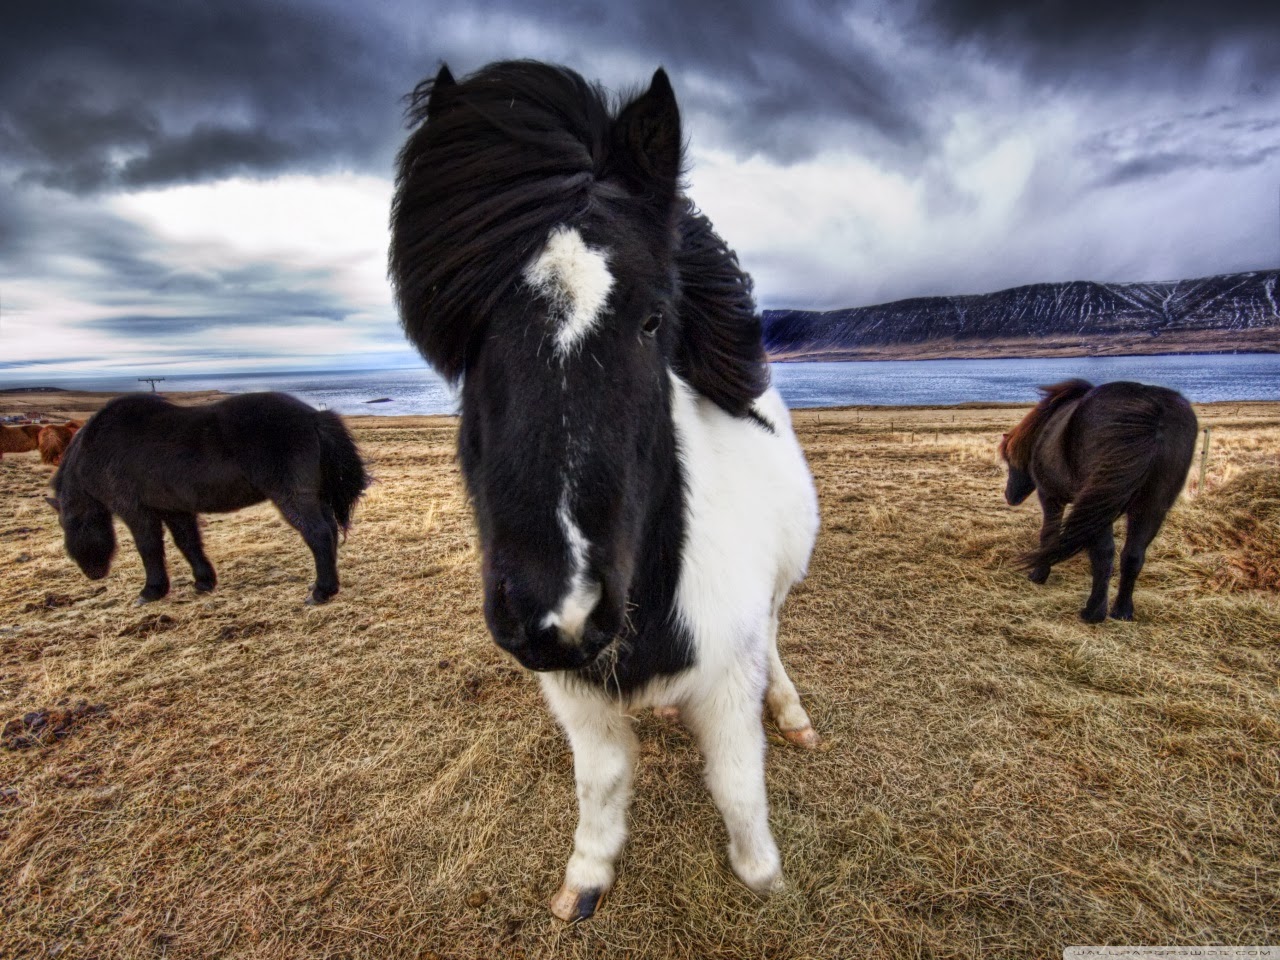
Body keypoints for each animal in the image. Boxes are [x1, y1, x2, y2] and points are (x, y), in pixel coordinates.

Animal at [47, 392, 369, 605]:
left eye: (71, 524)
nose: (93, 572)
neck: (95, 450)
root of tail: (314, 416)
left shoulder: (135, 510)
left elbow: (149, 548)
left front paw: (151, 591)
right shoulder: (174, 508)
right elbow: (188, 543)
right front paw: (203, 581)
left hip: (293, 497)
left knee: (318, 533)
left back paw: (321, 591)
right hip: (313, 495)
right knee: (329, 530)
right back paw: (328, 583)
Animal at [390, 60, 820, 921]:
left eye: (654, 320)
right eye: (466, 335)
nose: (560, 611)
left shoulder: (728, 678)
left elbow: (737, 782)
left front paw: (764, 874)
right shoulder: (572, 689)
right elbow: (602, 778)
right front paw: (586, 877)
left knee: (775, 637)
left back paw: (791, 710)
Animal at [999, 379, 1198, 622]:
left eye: (1009, 461)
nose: (1009, 496)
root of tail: (1155, 411)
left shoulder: (1050, 496)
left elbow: (1048, 534)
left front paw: (1038, 574)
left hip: (1101, 504)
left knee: (1105, 553)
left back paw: (1093, 612)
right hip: (1149, 506)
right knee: (1133, 555)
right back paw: (1122, 611)